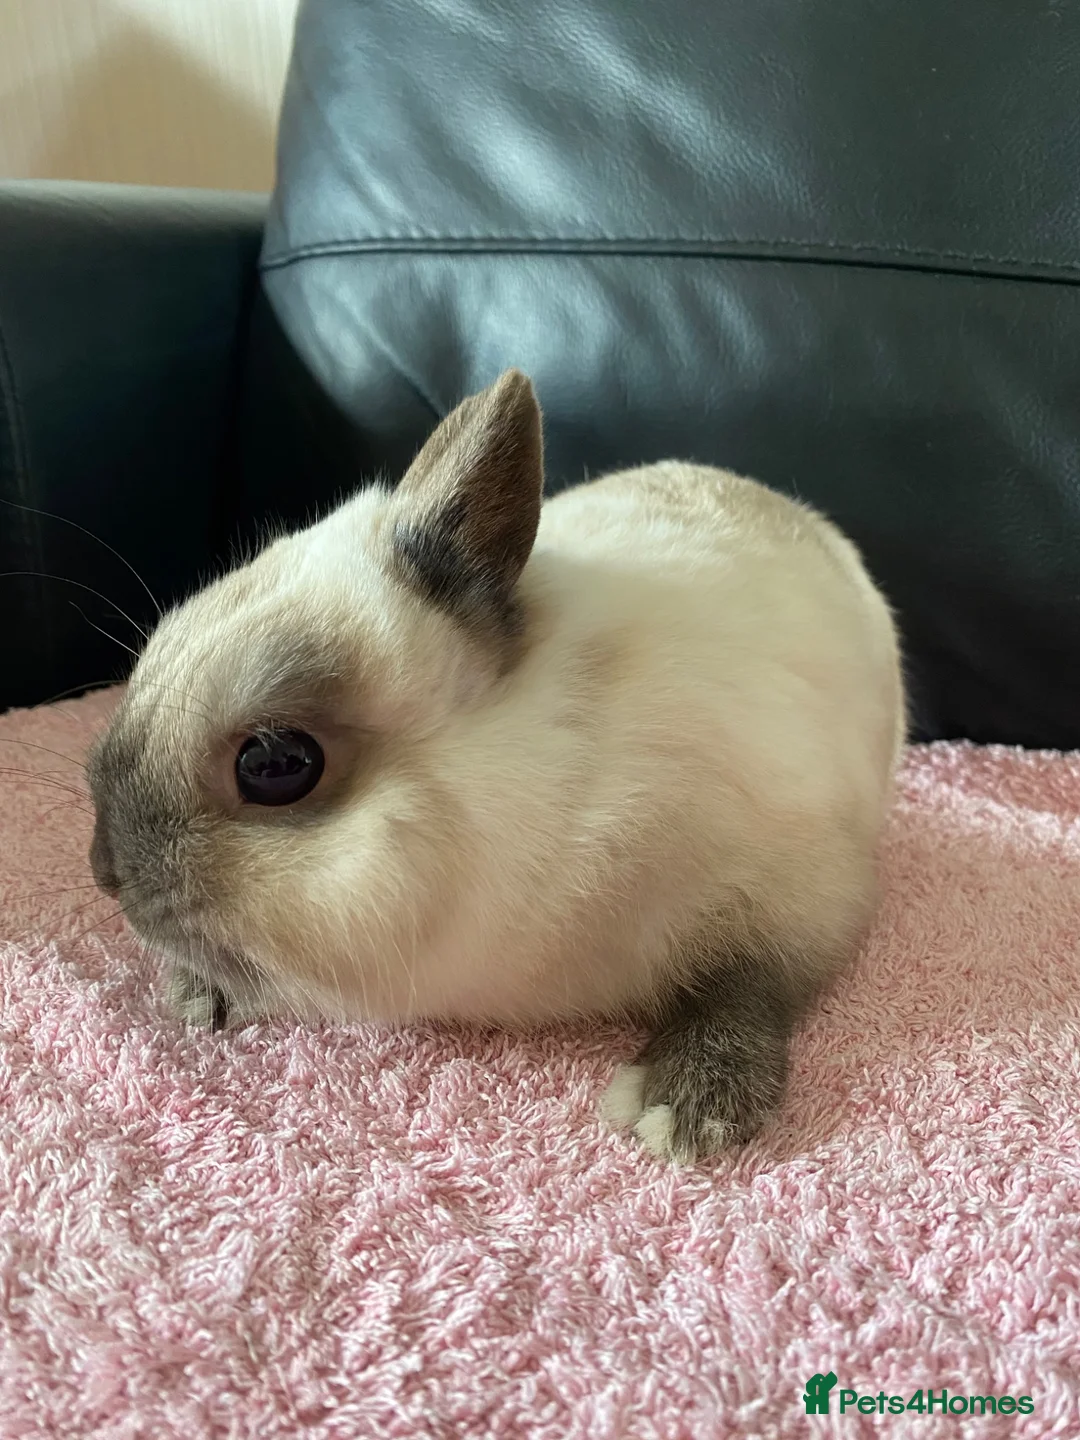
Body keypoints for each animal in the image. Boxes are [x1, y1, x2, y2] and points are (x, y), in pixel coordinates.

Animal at [86, 368, 905, 1162]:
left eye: (278, 763)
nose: (104, 871)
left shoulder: (802, 891)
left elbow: (750, 988)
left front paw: (683, 1112)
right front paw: (197, 995)